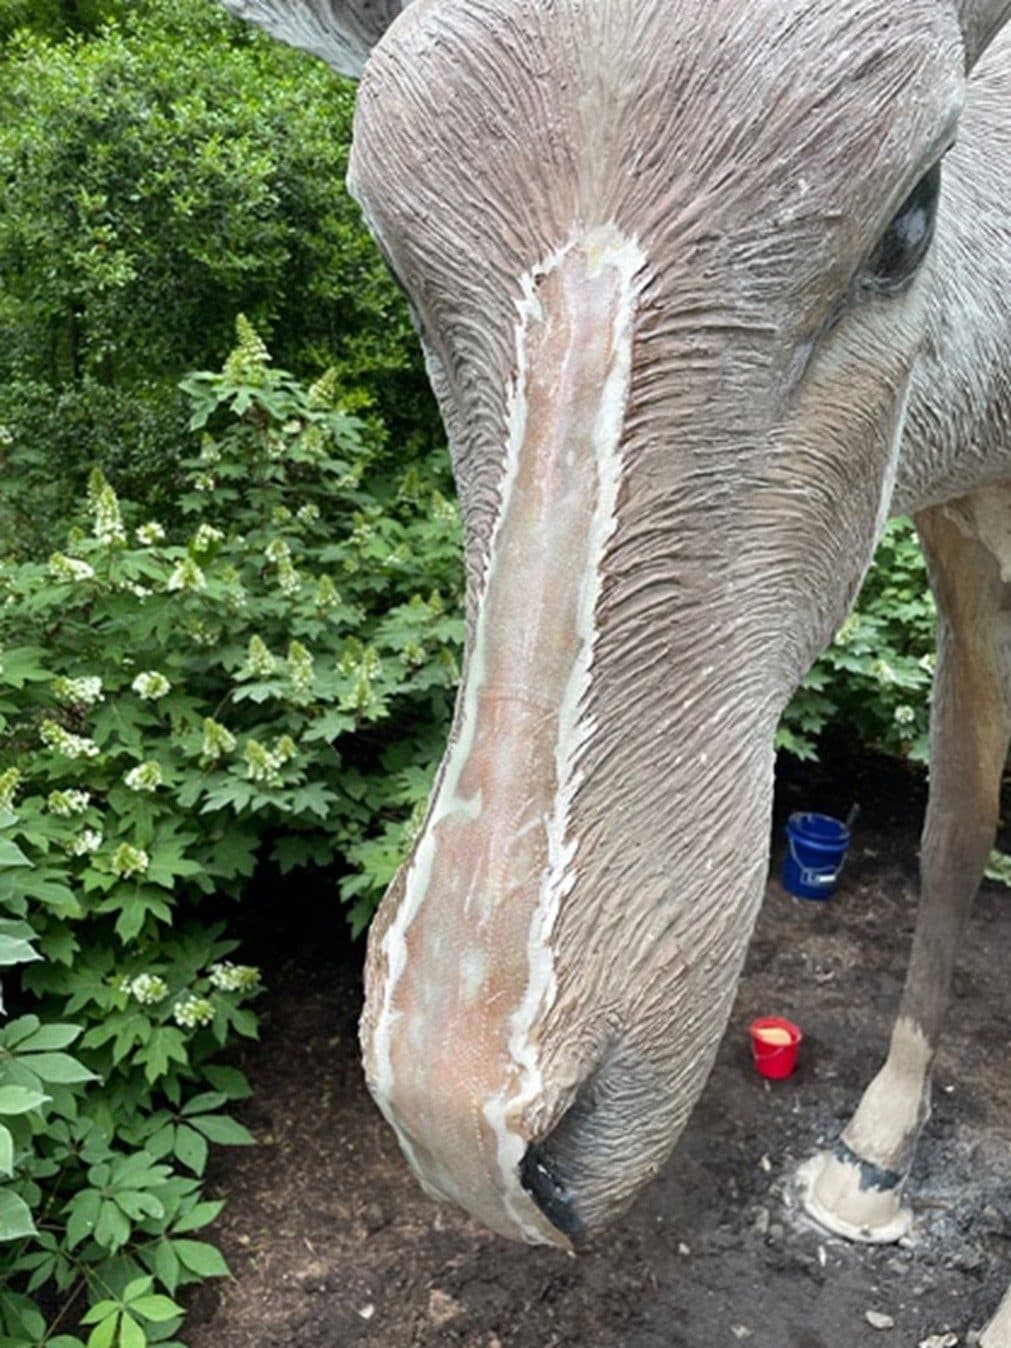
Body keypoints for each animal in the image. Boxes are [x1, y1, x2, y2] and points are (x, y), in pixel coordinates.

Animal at [220, 1, 1011, 1339]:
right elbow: (954, 817)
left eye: (908, 221)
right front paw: (869, 1159)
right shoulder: (955, 529)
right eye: (395, 255)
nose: (470, 1123)